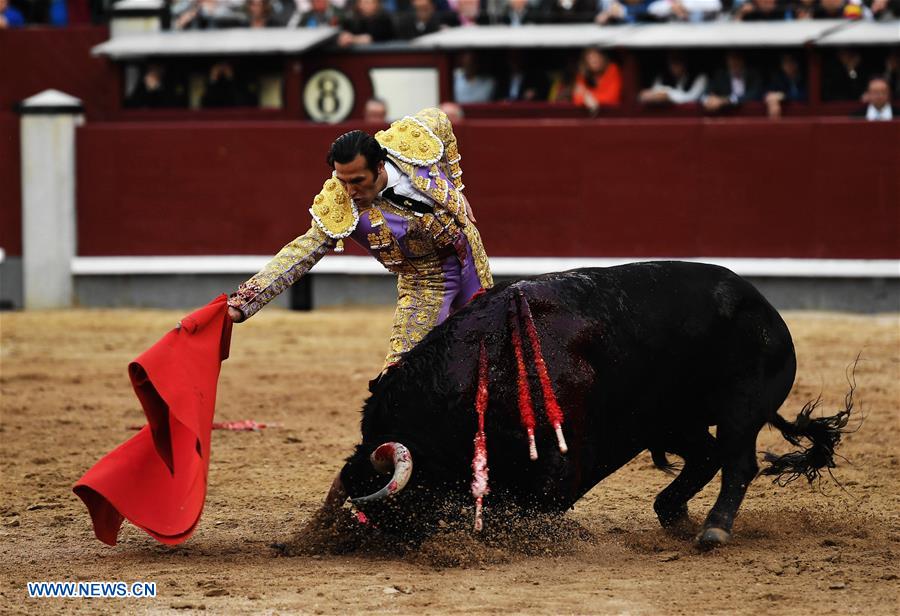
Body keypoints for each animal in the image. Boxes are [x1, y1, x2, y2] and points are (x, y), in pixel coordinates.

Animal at [332, 262, 852, 548]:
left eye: (396, 505)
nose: (359, 538)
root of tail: (766, 309)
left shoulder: (559, 468)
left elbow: (525, 507)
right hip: (672, 421)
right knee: (706, 456)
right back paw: (673, 514)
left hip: (739, 410)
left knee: (738, 462)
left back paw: (713, 530)